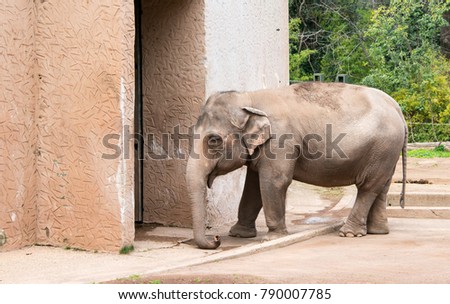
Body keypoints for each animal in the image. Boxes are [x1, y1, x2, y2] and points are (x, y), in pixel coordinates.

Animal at [185, 82, 406, 248]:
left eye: (214, 140)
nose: (216, 239)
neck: (249, 98)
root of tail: (397, 107)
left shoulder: (280, 141)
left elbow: (273, 181)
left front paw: (272, 238)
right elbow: (254, 186)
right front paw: (239, 235)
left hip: (383, 148)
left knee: (368, 187)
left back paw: (349, 234)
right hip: (386, 152)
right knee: (382, 186)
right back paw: (377, 231)